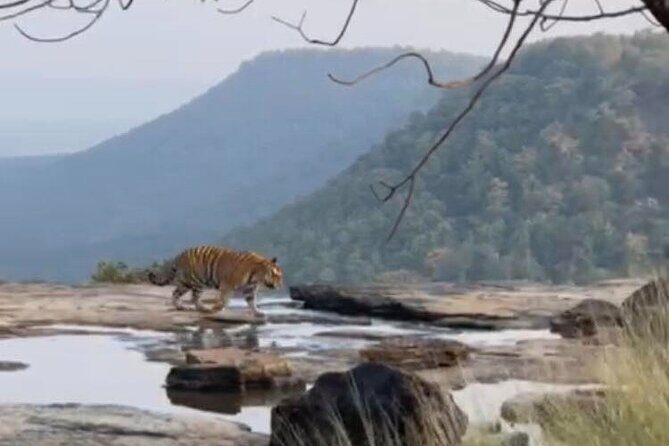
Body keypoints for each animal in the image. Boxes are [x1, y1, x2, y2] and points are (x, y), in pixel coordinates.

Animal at [148, 245, 283, 316]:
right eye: (276, 275)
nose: (280, 285)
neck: (256, 277)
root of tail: (180, 255)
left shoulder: (249, 289)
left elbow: (252, 302)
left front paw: (257, 312)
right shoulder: (227, 285)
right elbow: (223, 299)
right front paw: (217, 308)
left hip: (185, 283)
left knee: (175, 293)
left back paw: (181, 307)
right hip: (197, 282)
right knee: (194, 297)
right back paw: (204, 308)